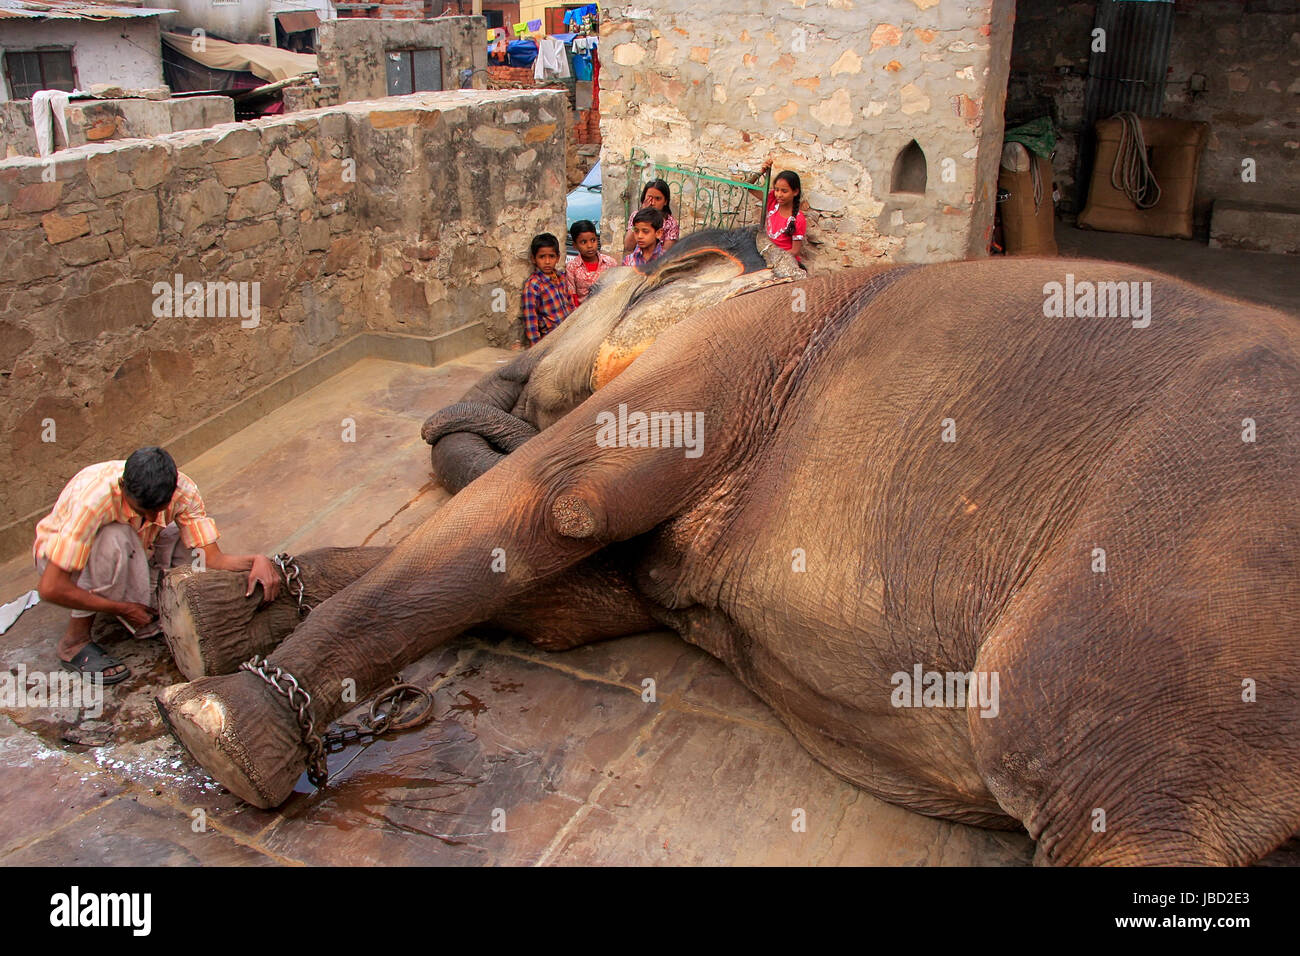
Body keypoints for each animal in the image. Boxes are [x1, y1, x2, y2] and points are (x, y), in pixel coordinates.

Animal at [162, 230, 1300, 868]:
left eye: (560, 320)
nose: (460, 407)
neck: (778, 273)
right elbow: (572, 601)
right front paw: (202, 614)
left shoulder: (741, 356)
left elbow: (557, 507)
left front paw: (215, 726)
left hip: (1166, 586)